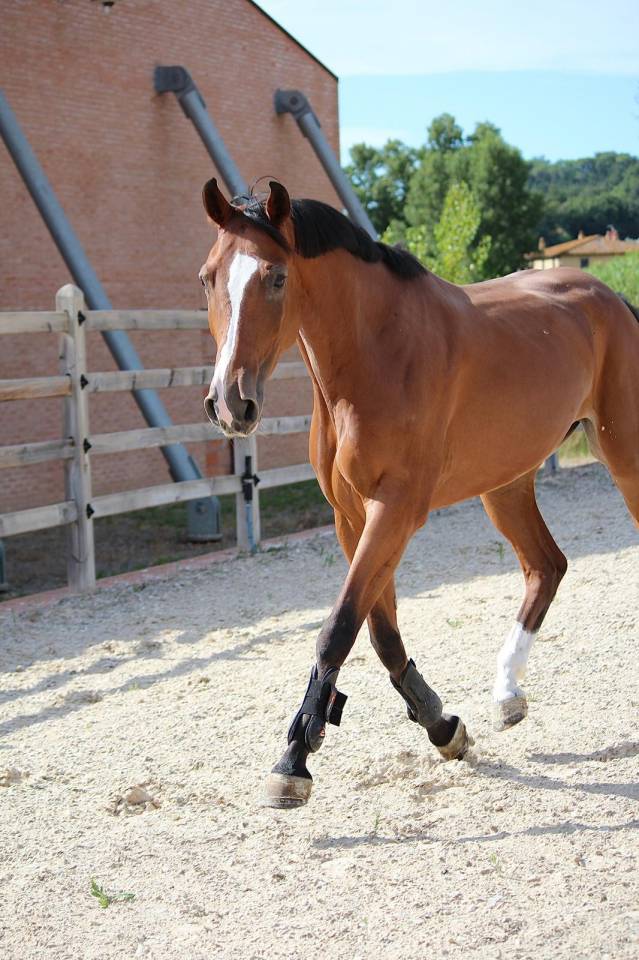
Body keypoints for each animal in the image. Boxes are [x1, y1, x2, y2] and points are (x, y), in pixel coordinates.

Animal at [198, 177, 639, 809]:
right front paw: (442, 726)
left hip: (625, 458)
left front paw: (294, 761)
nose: (230, 404)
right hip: (506, 484)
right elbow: (379, 631)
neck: (376, 356)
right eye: (208, 278)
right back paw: (507, 695)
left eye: (276, 277)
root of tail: (610, 298)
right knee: (545, 566)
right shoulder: (352, 517)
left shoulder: (397, 510)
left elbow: (338, 627)